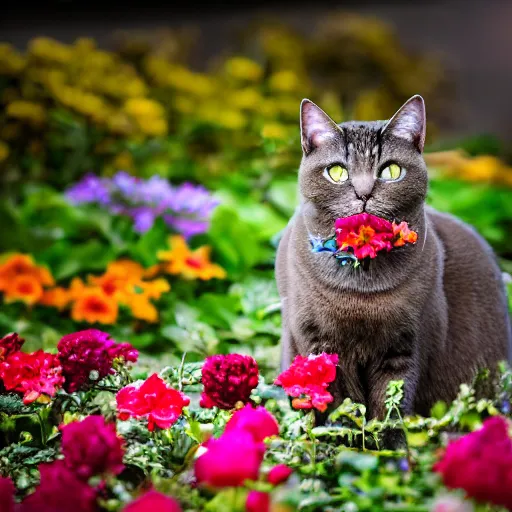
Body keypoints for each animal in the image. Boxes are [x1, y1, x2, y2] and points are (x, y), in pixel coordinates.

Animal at [276, 94, 512, 418]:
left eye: (391, 171)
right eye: (337, 172)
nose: (363, 193)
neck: (360, 285)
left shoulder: (406, 344)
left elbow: (390, 404)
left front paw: (386, 434)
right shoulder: (318, 345)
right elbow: (340, 406)